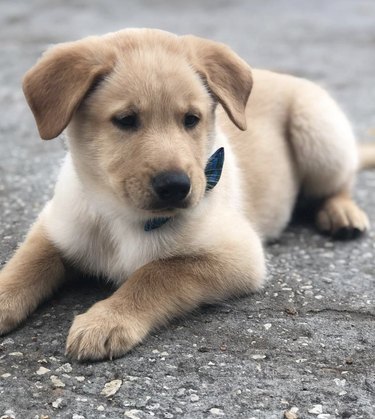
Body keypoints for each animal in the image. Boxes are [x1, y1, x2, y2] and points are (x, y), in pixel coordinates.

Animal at [0, 27, 374, 360]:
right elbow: (27, 261)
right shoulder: (56, 225)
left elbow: (157, 272)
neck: (121, 217)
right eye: (126, 120)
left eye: (191, 119)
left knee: (340, 182)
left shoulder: (239, 255)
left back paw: (342, 213)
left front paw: (108, 319)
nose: (176, 186)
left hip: (318, 131)